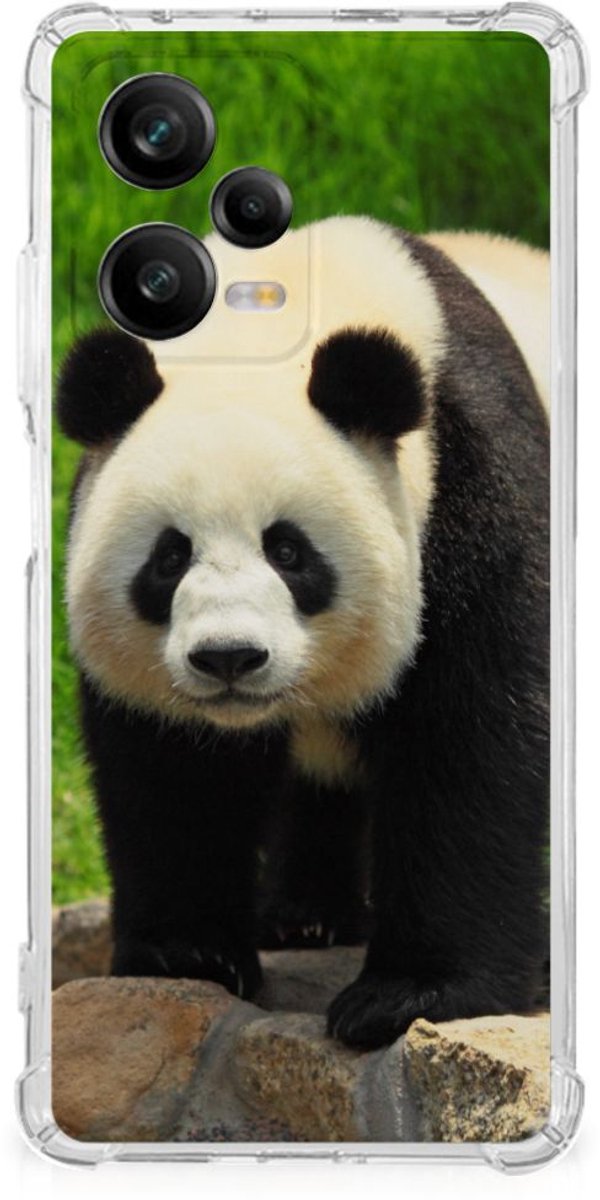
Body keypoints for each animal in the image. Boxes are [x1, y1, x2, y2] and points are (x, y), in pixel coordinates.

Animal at [56, 217, 549, 1049]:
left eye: (288, 551)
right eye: (169, 557)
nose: (228, 657)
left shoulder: (475, 485)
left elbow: (473, 738)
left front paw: (410, 994)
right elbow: (171, 769)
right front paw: (188, 955)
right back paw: (306, 917)